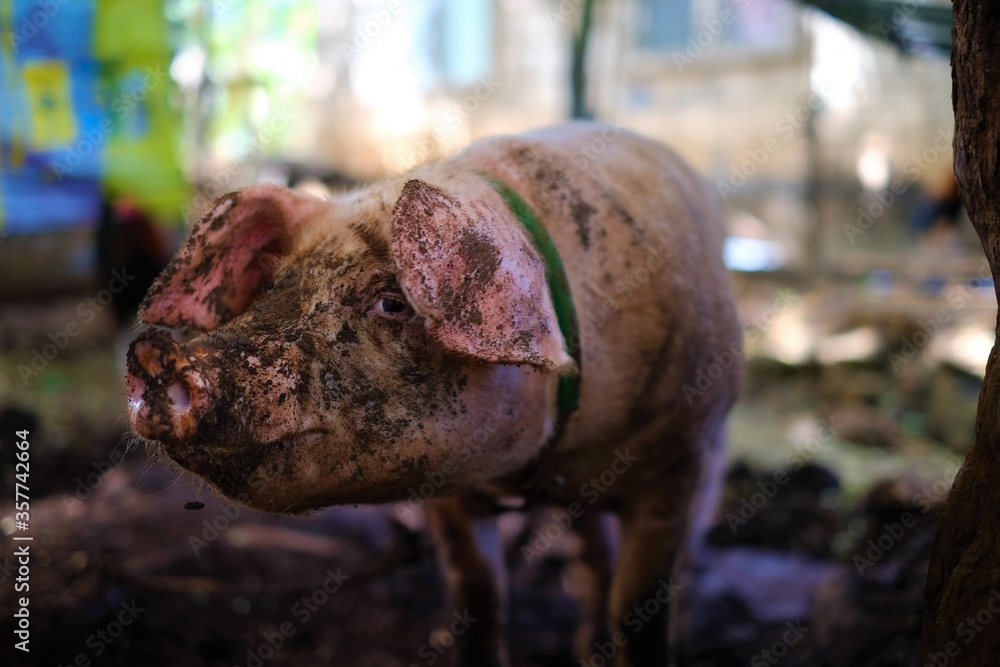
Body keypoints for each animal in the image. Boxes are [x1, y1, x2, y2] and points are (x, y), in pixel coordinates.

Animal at [125, 121, 742, 667]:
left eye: (394, 302)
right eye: (273, 285)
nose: (155, 355)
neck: (542, 465)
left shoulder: (680, 457)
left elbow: (638, 607)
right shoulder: (451, 490)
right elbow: (479, 599)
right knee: (589, 555)